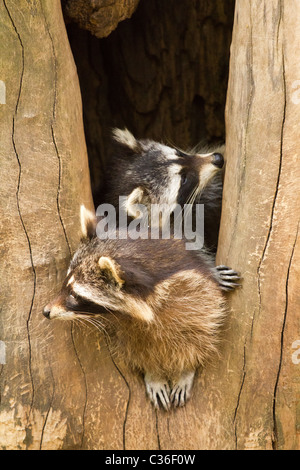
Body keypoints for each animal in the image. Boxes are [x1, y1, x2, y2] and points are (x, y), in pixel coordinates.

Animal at [44, 207, 237, 410]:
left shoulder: (194, 288)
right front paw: (153, 372)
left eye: (75, 295)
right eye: (65, 285)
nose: (46, 311)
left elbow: (201, 330)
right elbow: (137, 343)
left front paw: (186, 368)